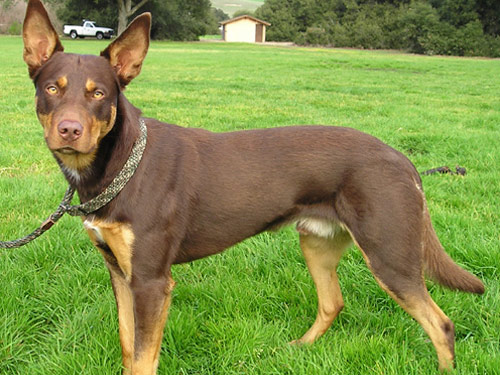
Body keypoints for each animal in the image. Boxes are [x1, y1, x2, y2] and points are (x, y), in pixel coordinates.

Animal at [21, 1, 482, 374]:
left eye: (99, 93)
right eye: (51, 88)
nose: (69, 130)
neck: (119, 167)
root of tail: (404, 161)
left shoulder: (152, 281)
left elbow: (142, 359)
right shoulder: (119, 272)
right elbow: (126, 346)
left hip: (390, 256)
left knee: (441, 325)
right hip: (317, 242)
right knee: (333, 303)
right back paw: (298, 349)